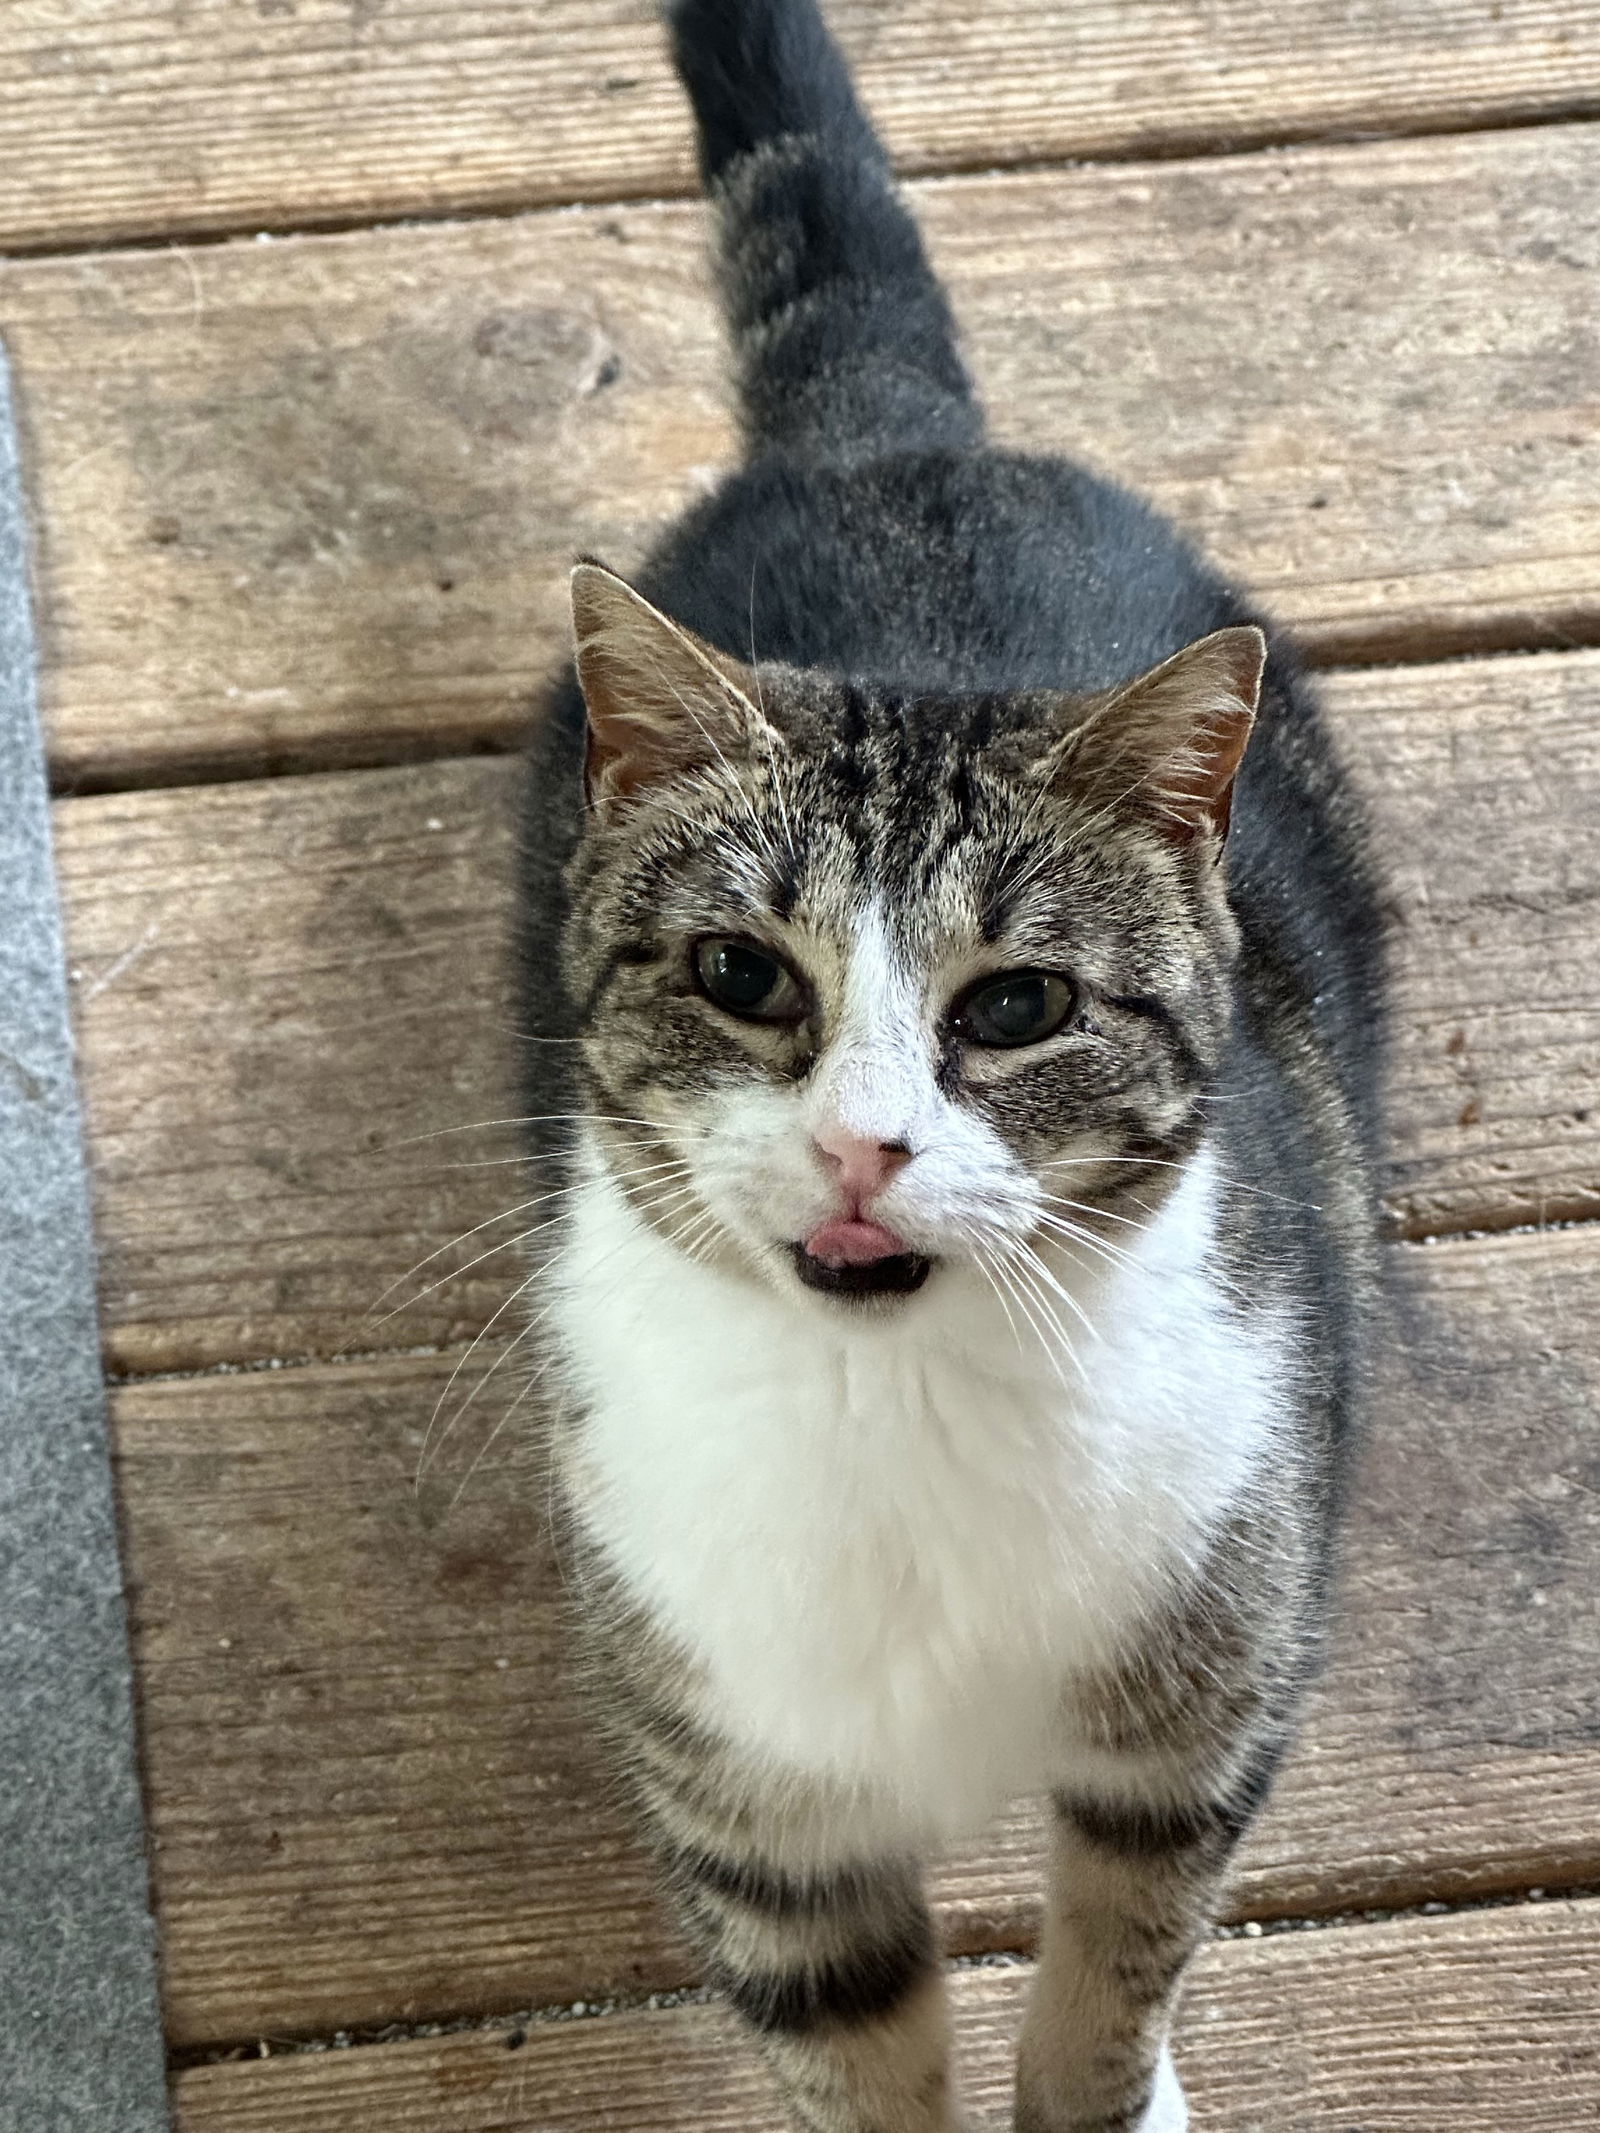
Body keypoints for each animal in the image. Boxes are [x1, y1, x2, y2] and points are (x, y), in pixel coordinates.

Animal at [516, 8, 1390, 2124]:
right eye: (741, 973)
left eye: (1014, 1006)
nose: (861, 1146)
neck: (897, 1411)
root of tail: (885, 439)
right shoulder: (757, 1818)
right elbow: (855, 2049)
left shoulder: (1199, 1724)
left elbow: (1109, 1986)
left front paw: (1111, 2077)